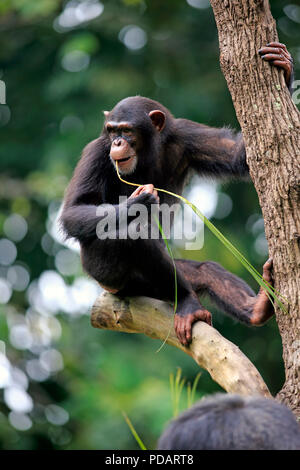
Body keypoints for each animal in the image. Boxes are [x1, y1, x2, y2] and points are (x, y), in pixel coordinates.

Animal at [59, 43, 294, 346]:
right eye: (111, 131)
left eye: (126, 130)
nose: (118, 142)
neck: (148, 151)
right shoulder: (96, 152)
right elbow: (75, 210)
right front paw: (137, 202)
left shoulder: (185, 133)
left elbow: (237, 155)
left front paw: (285, 68)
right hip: (109, 276)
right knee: (130, 235)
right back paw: (186, 300)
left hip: (167, 276)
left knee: (203, 271)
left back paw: (254, 307)